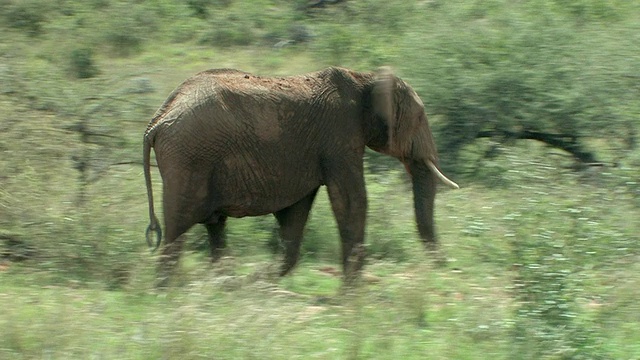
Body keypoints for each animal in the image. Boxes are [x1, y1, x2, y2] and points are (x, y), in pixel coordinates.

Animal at [142, 66, 458, 286]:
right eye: (420, 118)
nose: (445, 265)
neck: (364, 78)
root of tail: (157, 120)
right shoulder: (339, 139)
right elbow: (351, 201)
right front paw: (352, 293)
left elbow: (296, 212)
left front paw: (266, 279)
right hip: (190, 159)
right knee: (178, 229)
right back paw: (166, 292)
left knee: (214, 226)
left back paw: (223, 284)